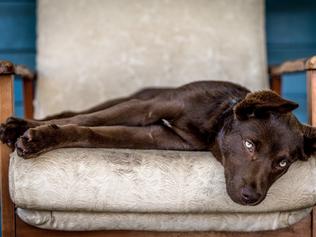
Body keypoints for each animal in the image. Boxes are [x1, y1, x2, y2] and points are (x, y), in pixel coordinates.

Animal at [0, 81, 316, 206]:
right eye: (250, 144)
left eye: (282, 163)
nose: (253, 197)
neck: (213, 121)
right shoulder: (147, 108)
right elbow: (84, 120)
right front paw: (39, 135)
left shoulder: (156, 135)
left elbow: (92, 132)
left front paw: (41, 136)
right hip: (131, 99)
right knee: (73, 112)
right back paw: (21, 124)